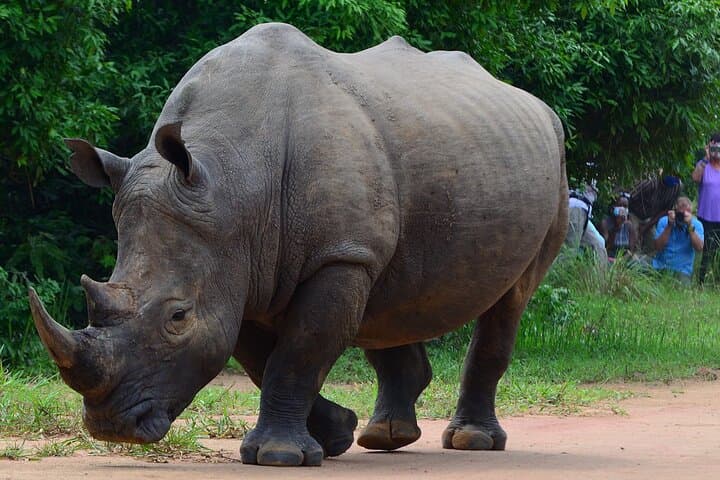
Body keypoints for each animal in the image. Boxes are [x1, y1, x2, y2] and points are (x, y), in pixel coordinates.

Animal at [29, 23, 567, 466]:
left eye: (178, 317)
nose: (113, 427)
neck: (231, 182)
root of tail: (535, 104)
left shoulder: (333, 256)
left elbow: (298, 350)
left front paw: (280, 457)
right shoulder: (237, 262)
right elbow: (260, 357)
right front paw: (335, 436)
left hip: (553, 170)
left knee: (511, 298)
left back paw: (471, 442)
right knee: (390, 294)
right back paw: (383, 437)